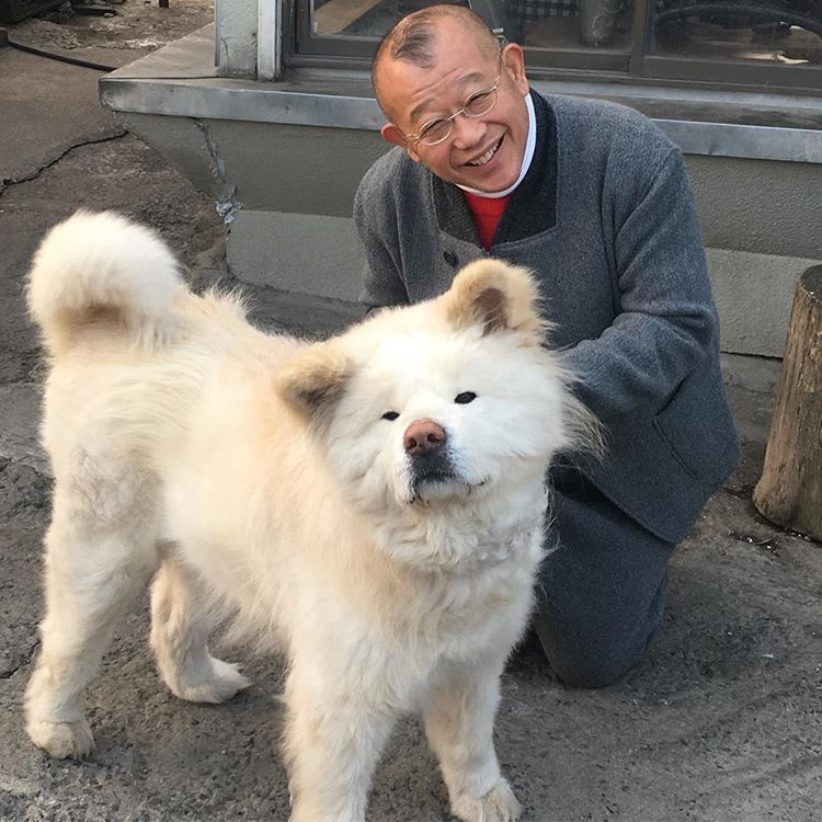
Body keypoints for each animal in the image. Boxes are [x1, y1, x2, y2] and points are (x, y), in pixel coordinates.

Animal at [24, 212, 592, 822]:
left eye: (465, 398)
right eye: (390, 417)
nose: (423, 438)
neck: (434, 551)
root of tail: (102, 327)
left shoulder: (472, 665)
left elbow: (469, 746)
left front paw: (483, 799)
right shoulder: (341, 691)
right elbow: (336, 789)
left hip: (206, 544)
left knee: (171, 613)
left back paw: (200, 683)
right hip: (104, 551)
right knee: (66, 641)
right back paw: (56, 728)